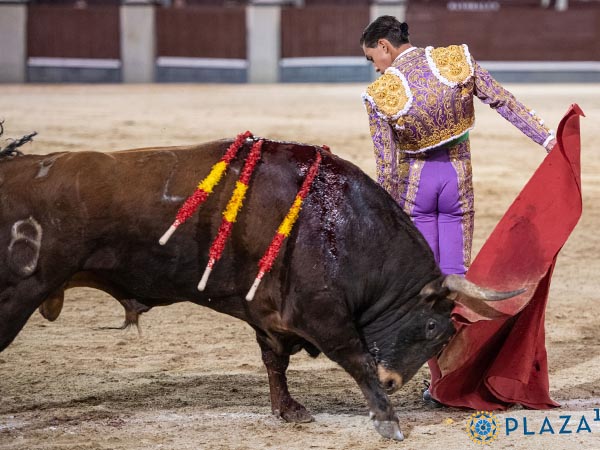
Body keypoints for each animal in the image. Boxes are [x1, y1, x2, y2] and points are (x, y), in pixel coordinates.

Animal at [0, 131, 520, 440]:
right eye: (435, 329)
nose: (394, 381)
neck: (344, 227)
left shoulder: (271, 317)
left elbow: (275, 363)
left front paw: (289, 411)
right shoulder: (323, 314)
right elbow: (355, 360)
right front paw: (388, 421)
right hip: (17, 294)